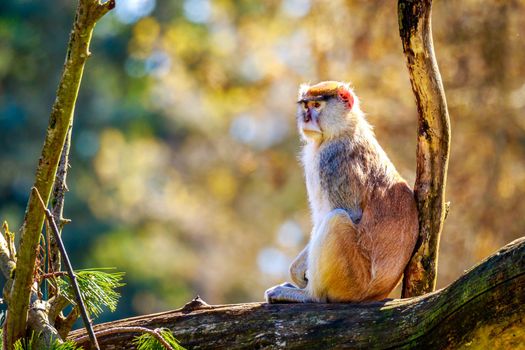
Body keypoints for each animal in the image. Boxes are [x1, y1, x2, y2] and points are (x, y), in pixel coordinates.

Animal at [266, 80, 418, 302]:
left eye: (317, 106)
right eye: (306, 105)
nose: (306, 118)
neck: (345, 129)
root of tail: (374, 295)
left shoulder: (332, 159)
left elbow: (347, 214)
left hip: (351, 280)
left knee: (336, 219)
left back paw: (309, 295)